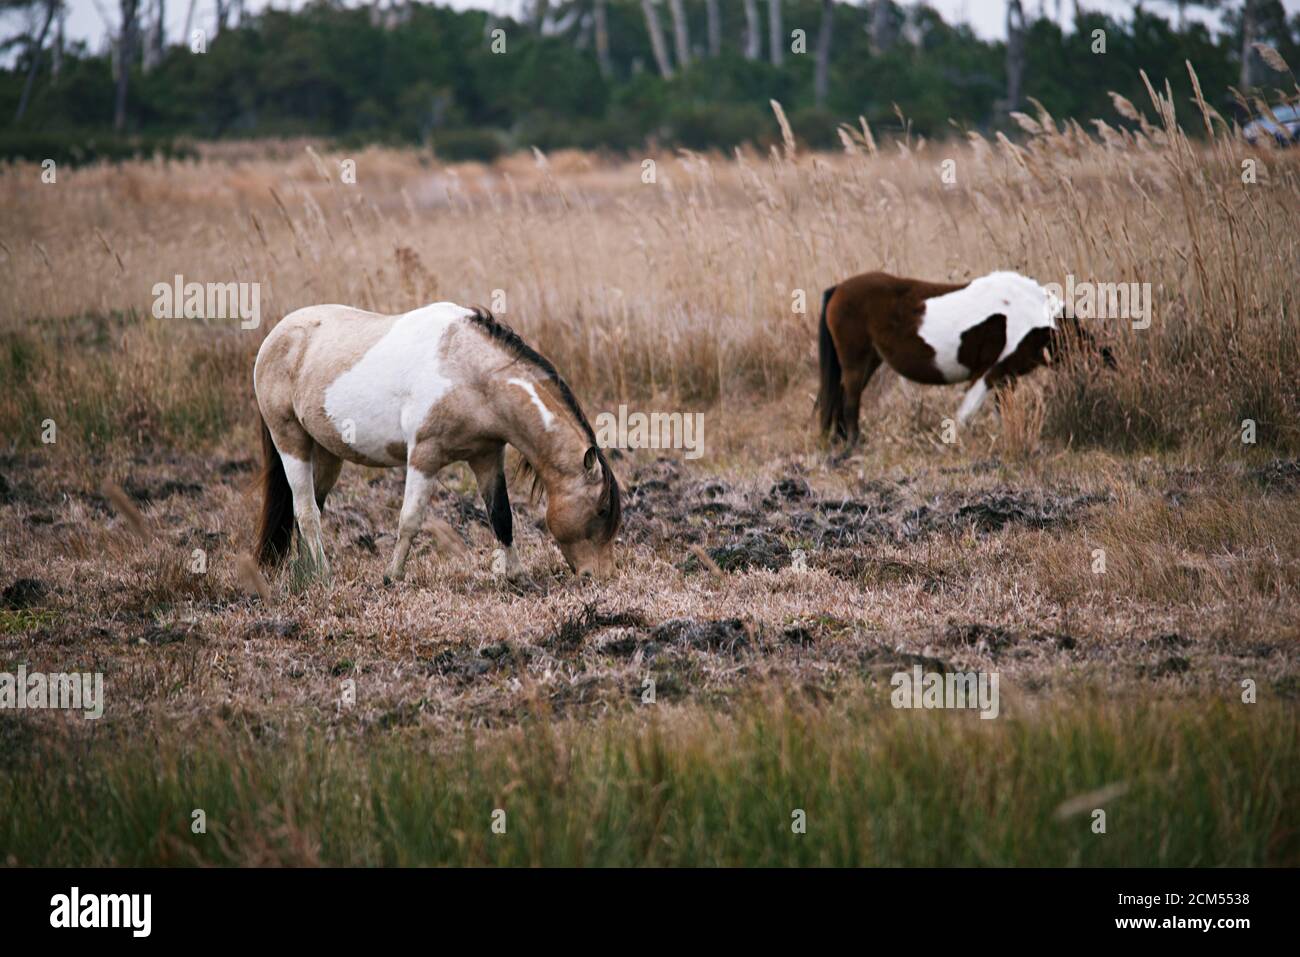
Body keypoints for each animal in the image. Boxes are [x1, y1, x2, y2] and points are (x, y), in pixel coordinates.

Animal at [253, 301, 621, 582]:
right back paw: (325, 575)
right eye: (602, 509)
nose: (601, 576)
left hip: (329, 453)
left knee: (313, 506)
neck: (467, 371)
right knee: (306, 510)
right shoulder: (424, 457)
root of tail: (274, 338)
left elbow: (501, 515)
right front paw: (392, 577)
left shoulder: (487, 457)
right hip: (291, 441)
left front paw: (517, 576)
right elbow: (410, 518)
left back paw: (307, 572)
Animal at [815, 270, 1115, 443]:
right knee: (850, 399)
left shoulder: (1006, 378)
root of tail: (838, 288)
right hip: (855, 360)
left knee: (842, 395)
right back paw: (852, 444)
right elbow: (966, 413)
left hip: (868, 361)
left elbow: (1003, 412)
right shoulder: (990, 372)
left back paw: (839, 439)